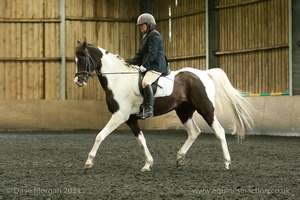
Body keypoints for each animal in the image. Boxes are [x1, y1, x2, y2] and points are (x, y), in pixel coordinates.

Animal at [74, 39, 252, 171]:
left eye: (83, 59)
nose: (78, 81)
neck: (118, 79)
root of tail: (204, 73)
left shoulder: (119, 116)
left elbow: (100, 136)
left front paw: (89, 162)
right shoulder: (131, 118)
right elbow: (142, 141)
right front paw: (148, 164)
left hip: (206, 109)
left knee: (219, 131)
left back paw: (227, 163)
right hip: (184, 111)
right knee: (194, 132)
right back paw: (179, 159)